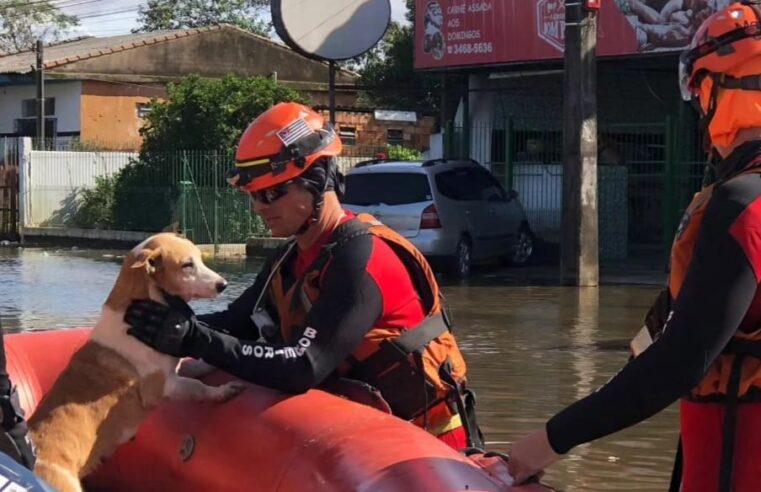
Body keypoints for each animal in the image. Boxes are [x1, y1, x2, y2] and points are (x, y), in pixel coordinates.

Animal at [28, 233, 242, 490]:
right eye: (187, 265)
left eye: (200, 258)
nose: (223, 285)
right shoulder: (165, 385)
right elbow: (199, 387)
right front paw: (222, 391)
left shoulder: (173, 371)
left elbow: (194, 367)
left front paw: (212, 365)